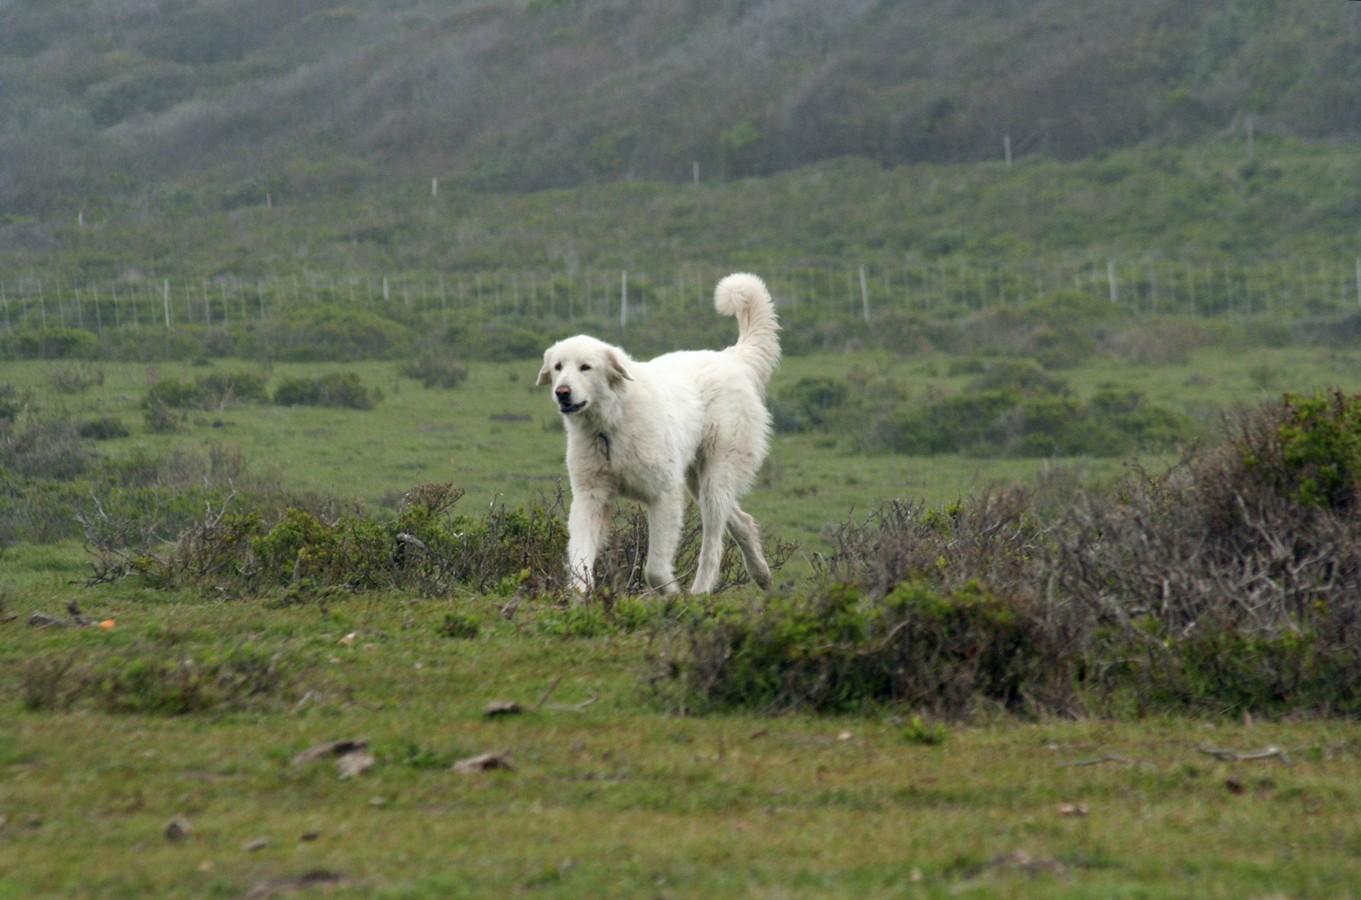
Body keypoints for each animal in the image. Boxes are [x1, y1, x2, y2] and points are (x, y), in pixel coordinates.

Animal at [536, 273, 783, 596]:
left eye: (585, 367)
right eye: (558, 367)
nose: (562, 392)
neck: (611, 425)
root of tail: (731, 358)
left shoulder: (663, 495)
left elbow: (654, 569)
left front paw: (672, 594)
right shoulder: (590, 497)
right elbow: (580, 562)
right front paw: (579, 598)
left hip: (715, 477)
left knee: (713, 546)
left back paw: (700, 593)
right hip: (696, 479)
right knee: (742, 521)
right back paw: (761, 573)